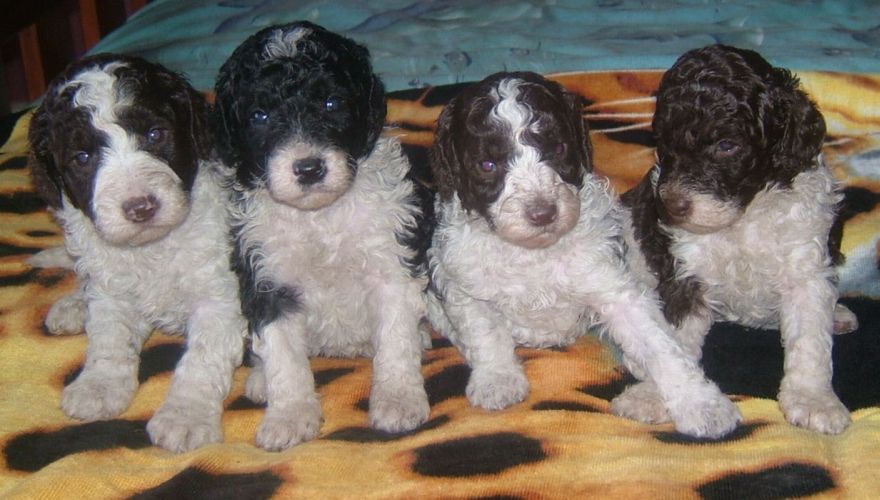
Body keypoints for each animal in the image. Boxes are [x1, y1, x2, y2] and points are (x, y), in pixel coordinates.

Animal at [28, 53, 248, 454]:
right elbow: (109, 337)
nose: (140, 207)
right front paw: (99, 385)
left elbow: (202, 358)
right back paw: (73, 305)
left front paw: (185, 417)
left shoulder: (220, 295)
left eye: (155, 135)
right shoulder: (111, 291)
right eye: (83, 157)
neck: (151, 247)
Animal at [215, 21, 432, 452]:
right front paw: (289, 416)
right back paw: (260, 379)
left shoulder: (390, 264)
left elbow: (396, 341)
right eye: (260, 115)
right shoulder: (267, 279)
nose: (309, 168)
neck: (319, 217)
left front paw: (399, 400)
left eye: (333, 104)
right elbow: (284, 355)